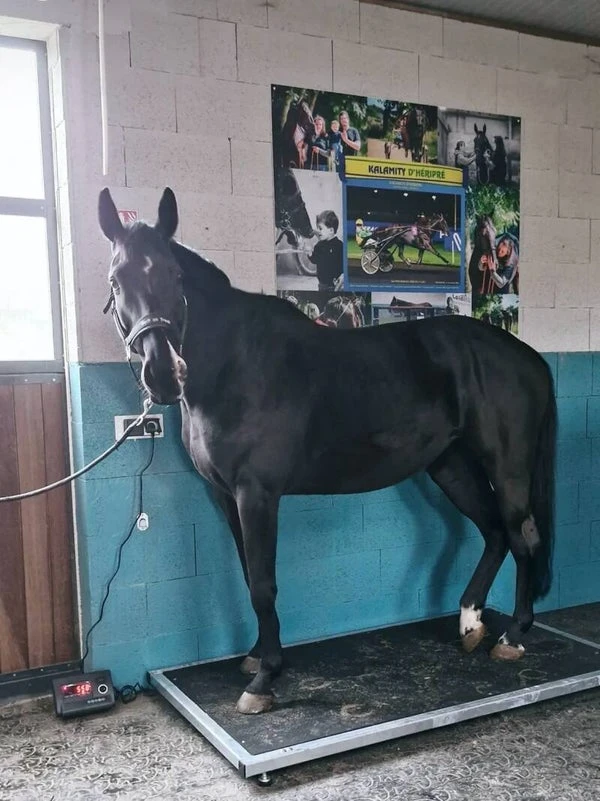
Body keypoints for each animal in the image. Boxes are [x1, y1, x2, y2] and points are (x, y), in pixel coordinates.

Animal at [99, 187, 556, 716]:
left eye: (174, 275)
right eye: (116, 279)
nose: (163, 374)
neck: (233, 365)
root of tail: (528, 358)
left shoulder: (257, 494)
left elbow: (263, 584)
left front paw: (265, 679)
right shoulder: (225, 496)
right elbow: (248, 573)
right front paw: (256, 657)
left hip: (508, 467)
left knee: (522, 536)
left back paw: (513, 636)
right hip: (451, 466)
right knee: (494, 533)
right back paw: (470, 624)